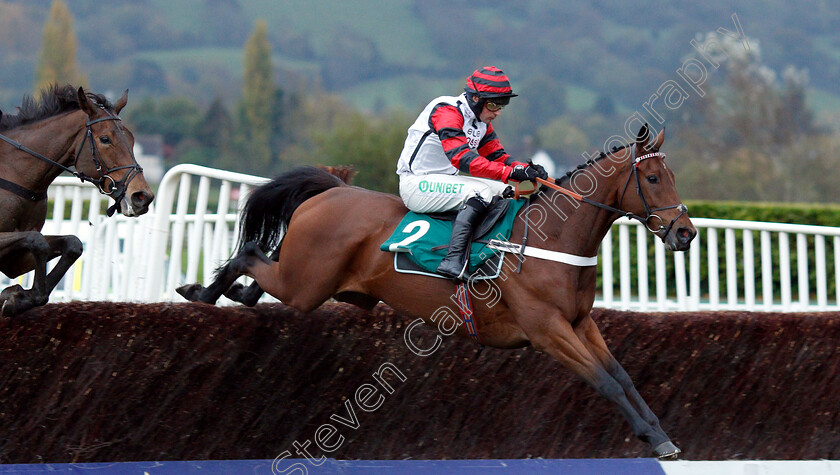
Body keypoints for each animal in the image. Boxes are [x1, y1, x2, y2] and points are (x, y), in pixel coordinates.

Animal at [0, 85, 154, 316]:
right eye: (105, 139)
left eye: (132, 139)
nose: (142, 196)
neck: (14, 172)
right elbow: (37, 241)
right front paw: (18, 295)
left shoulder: (14, 261)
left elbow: (72, 244)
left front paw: (19, 297)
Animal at [177, 124, 696, 460]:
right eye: (653, 178)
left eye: (673, 177)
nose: (685, 233)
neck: (551, 240)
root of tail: (331, 190)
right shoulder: (548, 331)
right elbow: (604, 381)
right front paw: (653, 438)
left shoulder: (579, 322)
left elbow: (623, 377)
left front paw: (661, 435)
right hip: (305, 284)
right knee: (250, 254)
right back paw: (201, 291)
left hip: (332, 287)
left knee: (258, 277)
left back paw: (230, 294)